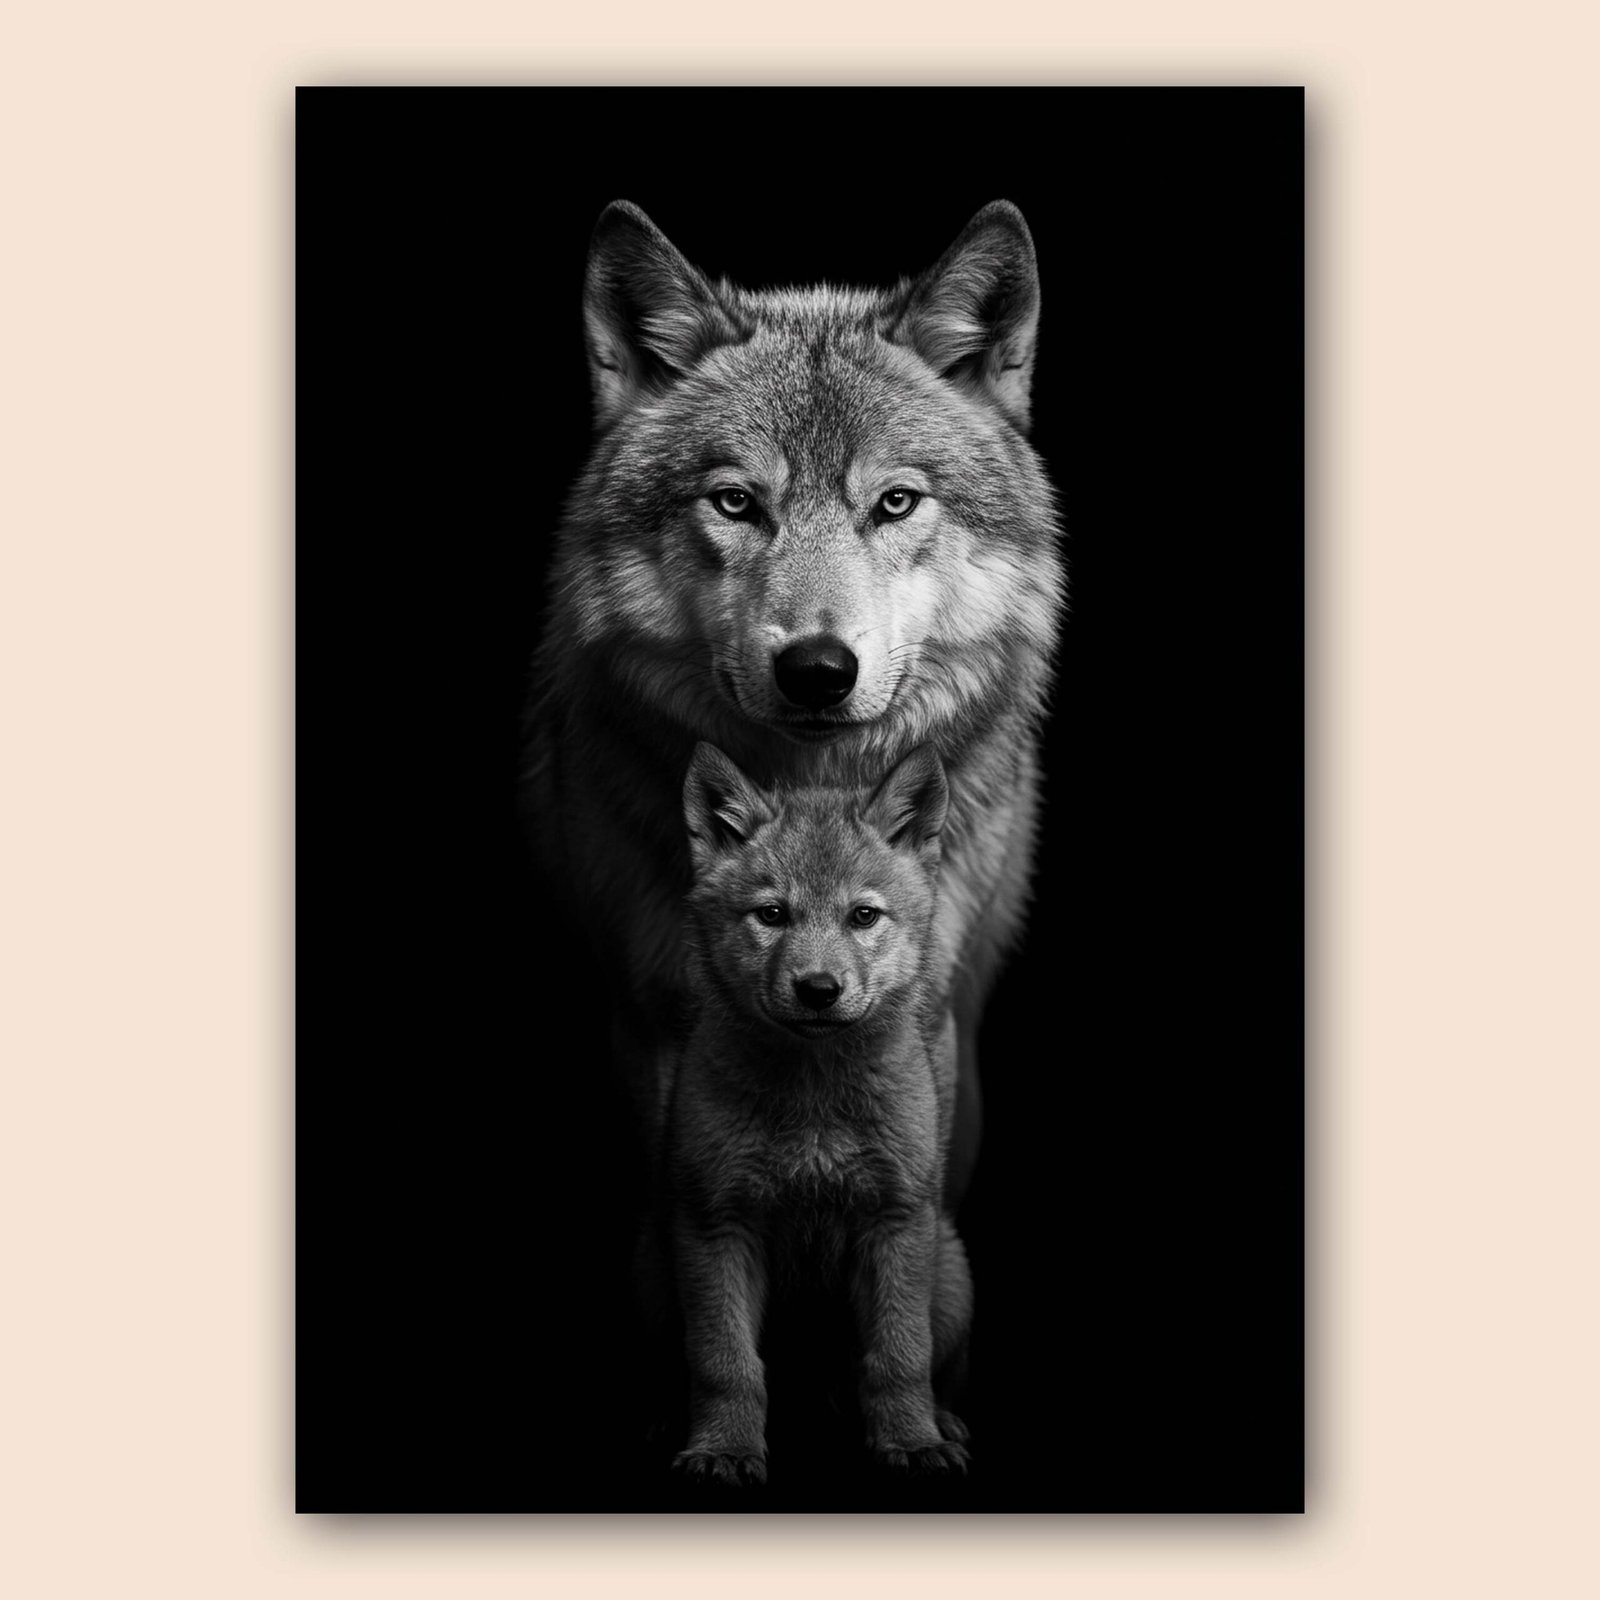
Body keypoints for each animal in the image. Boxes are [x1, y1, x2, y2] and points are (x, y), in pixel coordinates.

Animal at [520, 198, 1064, 1206]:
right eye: (736, 503)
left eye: (895, 503)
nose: (817, 669)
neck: (812, 797)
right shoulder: (655, 1024)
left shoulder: (930, 1026)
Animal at [660, 741, 971, 1486]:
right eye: (772, 914)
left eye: (864, 916)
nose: (818, 990)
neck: (814, 1112)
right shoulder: (714, 1224)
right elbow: (725, 1362)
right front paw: (724, 1450)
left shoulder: (896, 1220)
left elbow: (899, 1356)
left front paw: (911, 1441)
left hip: (951, 1273)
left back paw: (942, 1421)